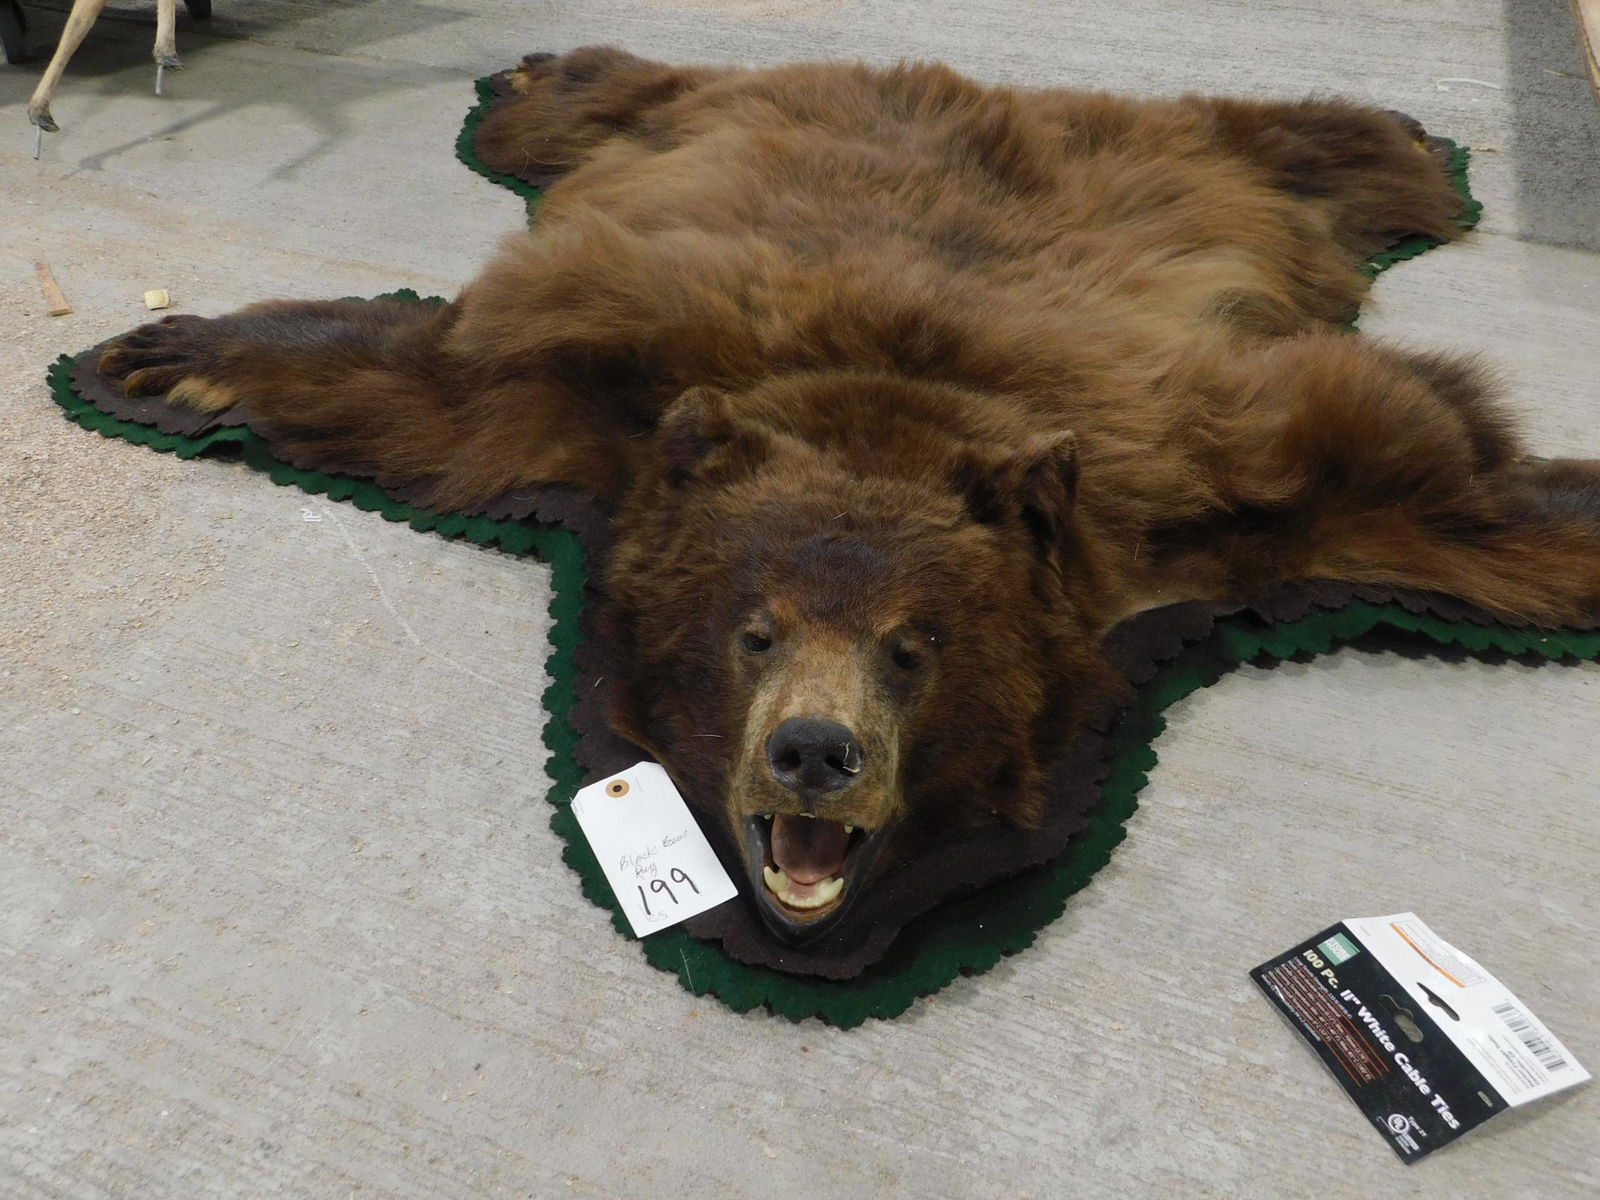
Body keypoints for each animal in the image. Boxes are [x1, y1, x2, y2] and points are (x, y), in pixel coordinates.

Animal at [95, 46, 1600, 944]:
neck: (887, 413)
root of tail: (973, 81)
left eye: (914, 648)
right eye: (751, 630)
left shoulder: (1212, 487)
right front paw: (161, 354)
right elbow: (421, 381)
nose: (814, 752)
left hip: (1195, 166)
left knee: (1289, 146)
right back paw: (545, 67)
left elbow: (1437, 481)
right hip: (693, 121)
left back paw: (1396, 139)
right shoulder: (592, 391)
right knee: (623, 99)